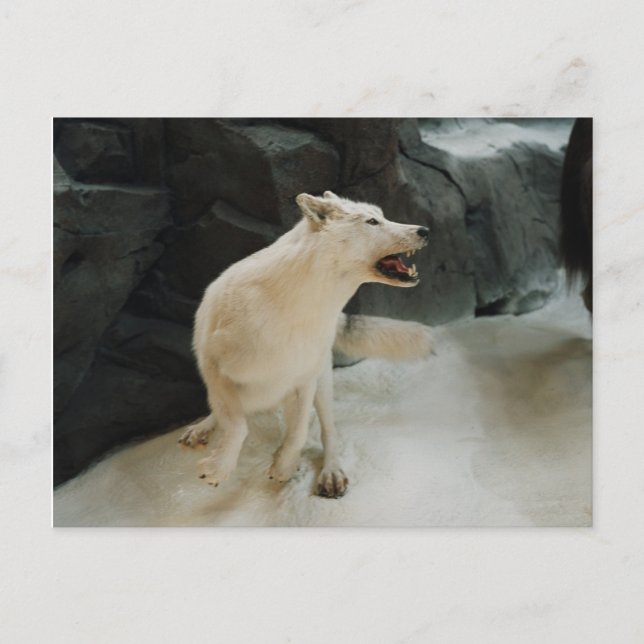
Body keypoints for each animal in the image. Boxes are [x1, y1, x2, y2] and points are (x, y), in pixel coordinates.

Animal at [178, 191, 432, 498]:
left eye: (382, 216)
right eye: (372, 221)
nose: (425, 230)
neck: (298, 313)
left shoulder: (304, 379)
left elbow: (298, 433)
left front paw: (284, 466)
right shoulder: (215, 370)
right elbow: (237, 426)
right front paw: (219, 468)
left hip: (322, 383)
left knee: (328, 431)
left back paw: (329, 472)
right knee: (225, 413)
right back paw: (202, 429)